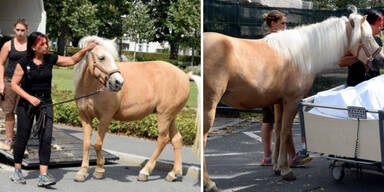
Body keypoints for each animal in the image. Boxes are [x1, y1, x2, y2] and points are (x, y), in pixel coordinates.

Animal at [71, 35, 201, 183]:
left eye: (114, 57)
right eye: (101, 57)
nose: (118, 82)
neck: (92, 88)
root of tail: (185, 75)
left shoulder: (105, 117)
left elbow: (98, 144)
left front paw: (99, 170)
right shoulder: (85, 117)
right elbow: (87, 144)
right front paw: (82, 172)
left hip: (164, 115)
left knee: (163, 139)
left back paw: (145, 172)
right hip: (171, 116)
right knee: (177, 139)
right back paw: (173, 173)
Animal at [202, 7, 382, 190]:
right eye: (367, 37)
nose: (380, 61)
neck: (301, 53)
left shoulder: (279, 102)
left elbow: (277, 131)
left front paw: (276, 167)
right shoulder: (292, 101)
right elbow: (285, 132)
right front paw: (286, 170)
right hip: (208, 109)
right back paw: (209, 183)